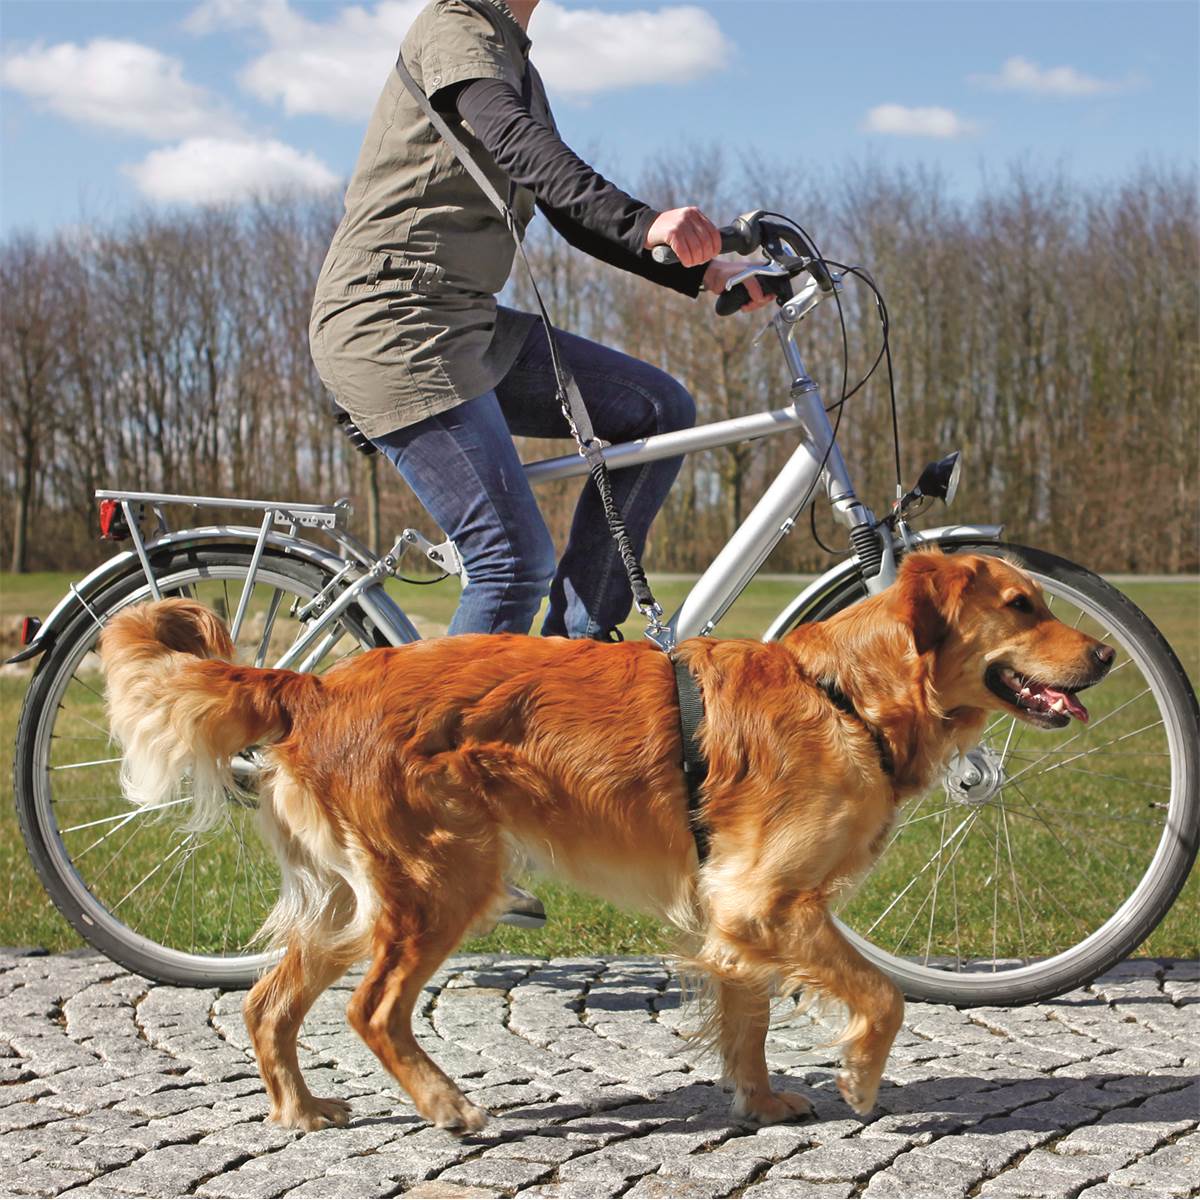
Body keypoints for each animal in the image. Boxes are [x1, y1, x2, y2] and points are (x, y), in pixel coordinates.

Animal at [100, 552, 1113, 1132]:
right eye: (1023, 605)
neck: (847, 696)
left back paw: (300, 1111)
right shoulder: (769, 901)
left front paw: (762, 1100)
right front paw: (862, 1080)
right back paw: (447, 1106)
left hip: (354, 902)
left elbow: (747, 1017)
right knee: (372, 1012)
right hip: (441, 883)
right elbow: (885, 996)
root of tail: (315, 683)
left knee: (267, 1002)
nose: (1106, 655)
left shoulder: (734, 915)